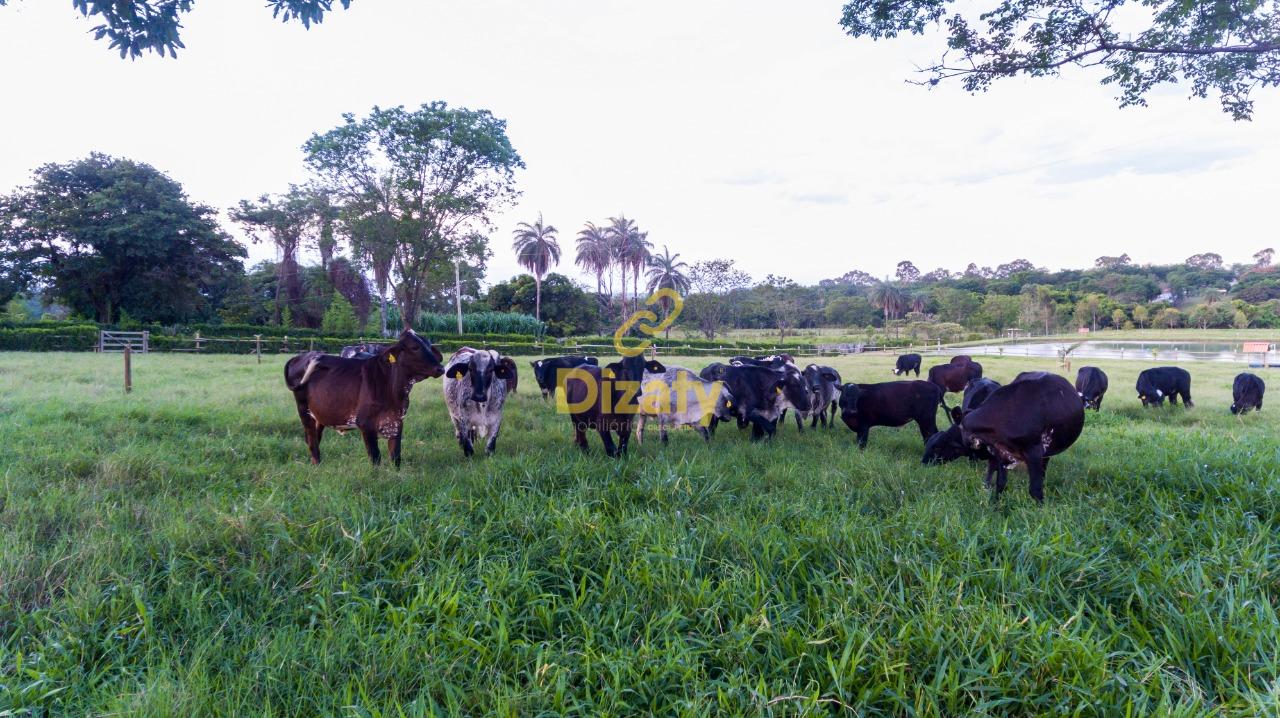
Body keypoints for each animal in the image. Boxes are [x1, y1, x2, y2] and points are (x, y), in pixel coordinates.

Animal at [284, 330, 445, 468]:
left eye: (429, 346)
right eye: (415, 347)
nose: (441, 368)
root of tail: (300, 356)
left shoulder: (397, 422)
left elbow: (396, 457)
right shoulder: (366, 424)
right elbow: (375, 457)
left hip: (319, 414)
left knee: (316, 438)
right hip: (303, 410)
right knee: (312, 440)